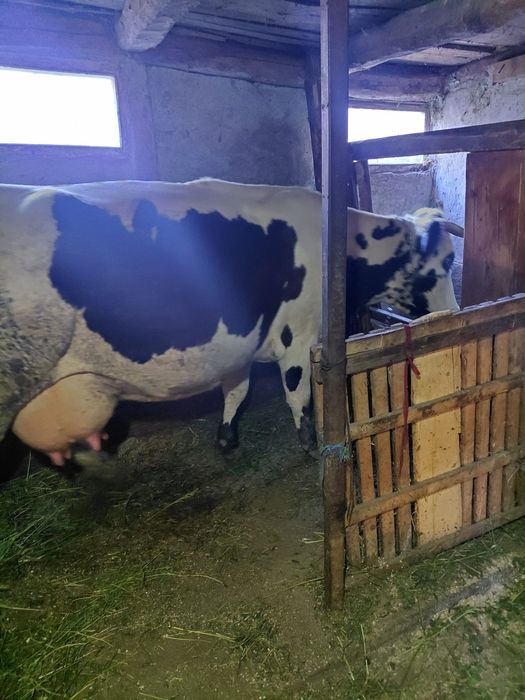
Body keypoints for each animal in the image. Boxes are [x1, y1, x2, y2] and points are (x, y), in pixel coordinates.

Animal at [0, 178, 459, 468]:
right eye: (444, 262)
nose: (455, 311)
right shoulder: (299, 337)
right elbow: (298, 396)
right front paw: (310, 445)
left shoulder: (239, 345)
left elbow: (236, 392)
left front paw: (226, 440)